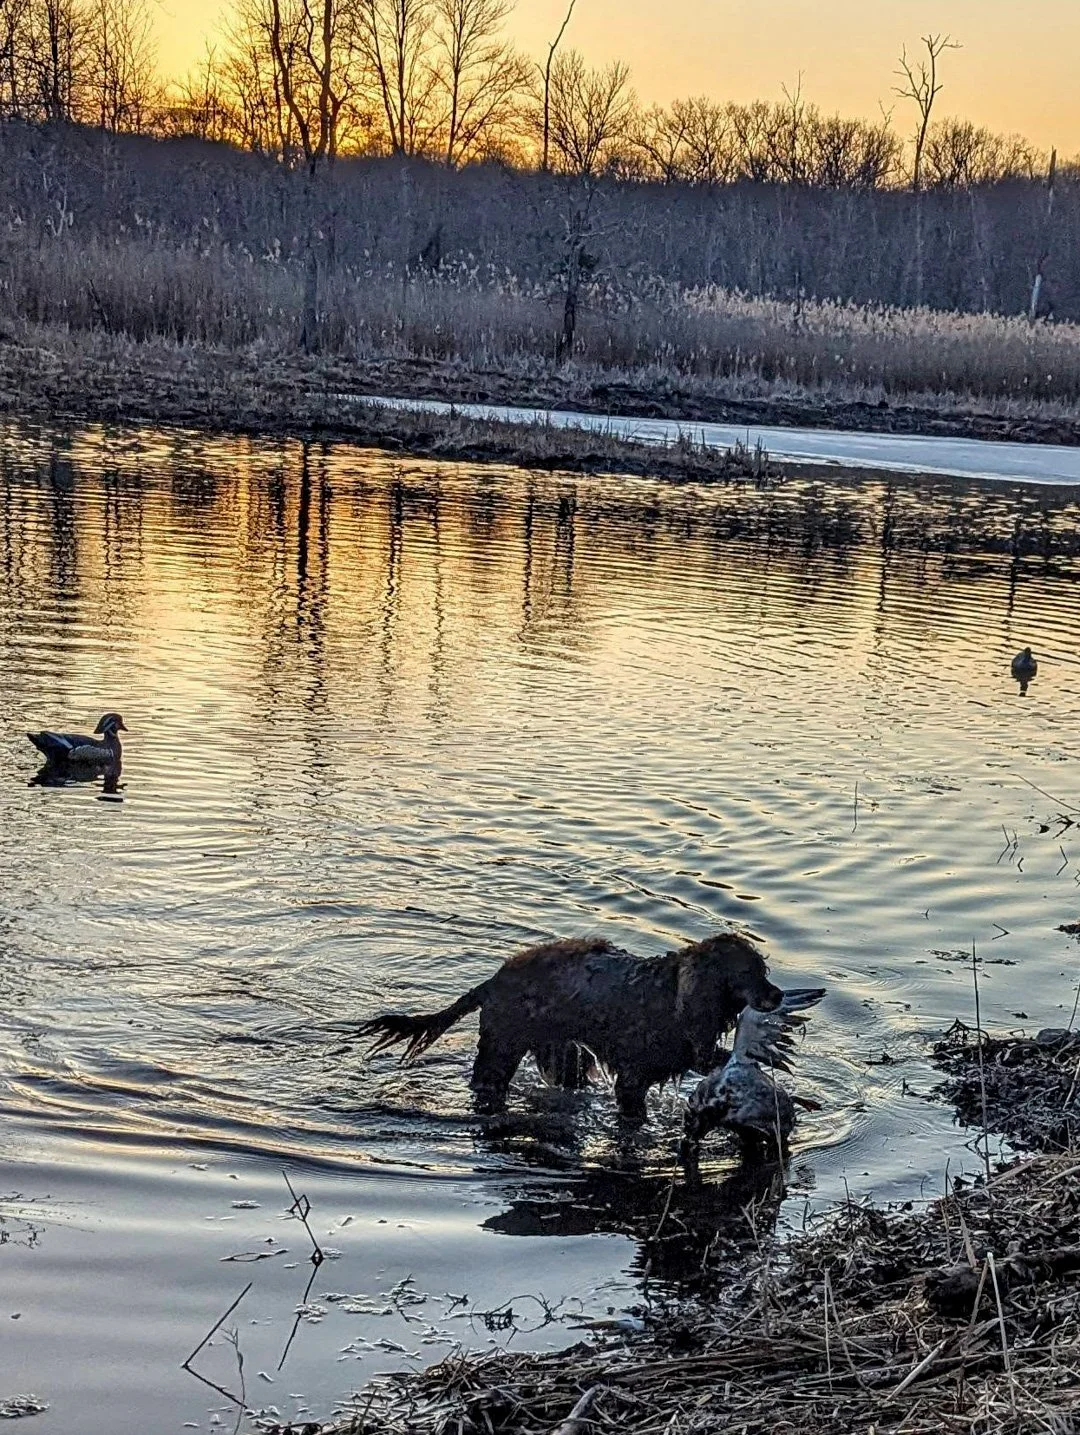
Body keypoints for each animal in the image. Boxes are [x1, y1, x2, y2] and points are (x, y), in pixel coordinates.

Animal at [358, 932, 783, 1119]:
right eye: (748, 972)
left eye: (764, 970)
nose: (779, 995)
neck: (675, 996)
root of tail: (491, 982)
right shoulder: (632, 1079)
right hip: (501, 1050)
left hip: (564, 1055)